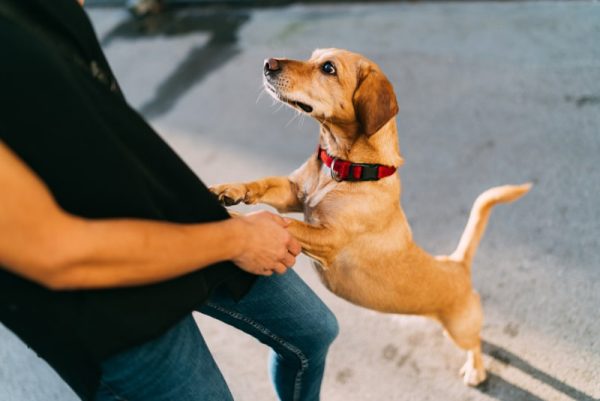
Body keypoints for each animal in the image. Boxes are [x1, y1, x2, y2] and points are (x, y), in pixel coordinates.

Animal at [210, 48, 528, 386]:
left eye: (328, 68)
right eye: (312, 56)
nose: (268, 64)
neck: (343, 168)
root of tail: (456, 263)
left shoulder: (327, 239)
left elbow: (285, 224)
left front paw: (235, 221)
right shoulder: (291, 194)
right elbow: (261, 185)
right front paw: (227, 191)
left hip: (461, 329)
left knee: (476, 343)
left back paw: (475, 369)